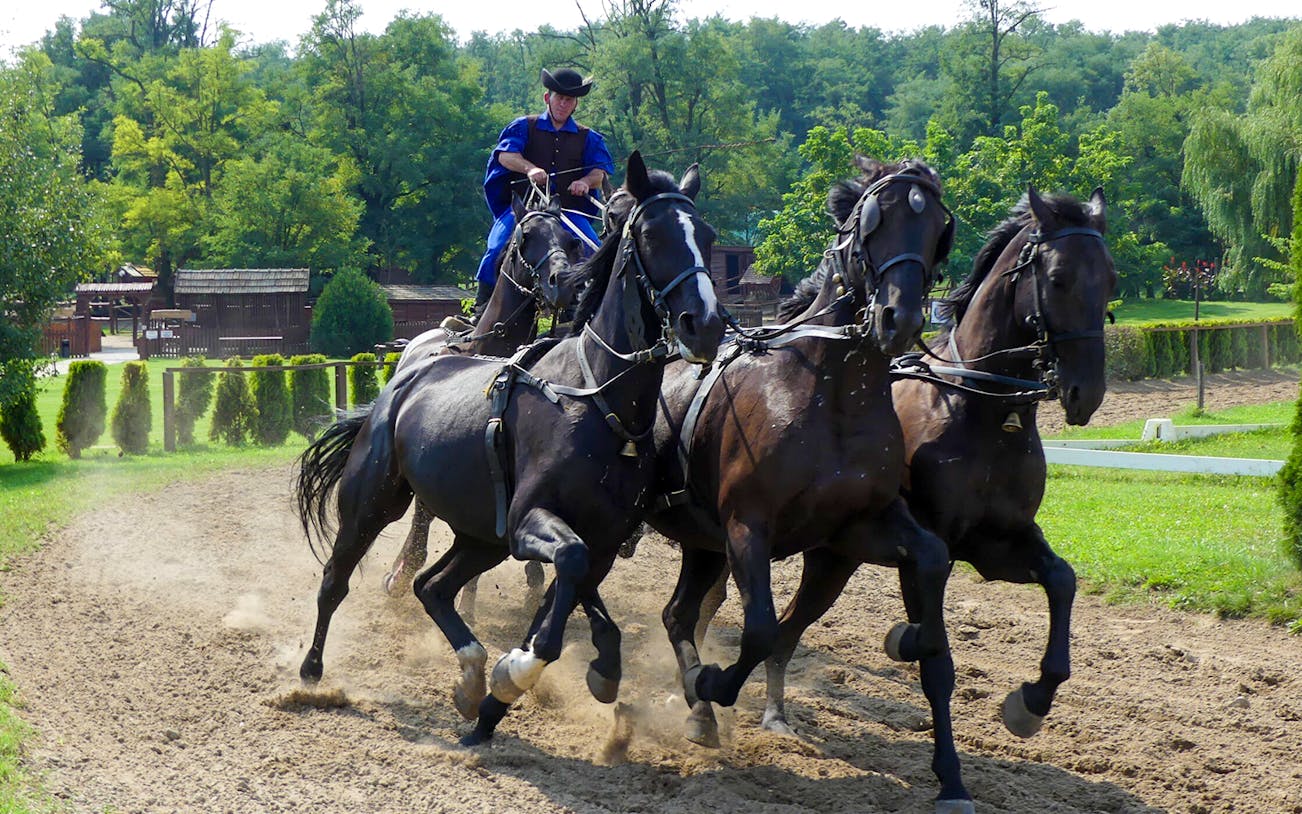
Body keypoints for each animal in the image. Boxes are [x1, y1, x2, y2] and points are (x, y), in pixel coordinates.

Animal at [379, 194, 586, 599]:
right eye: (526, 238)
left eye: (570, 241)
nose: (564, 284)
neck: (494, 350)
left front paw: (533, 581)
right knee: (422, 515)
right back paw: (403, 570)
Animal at [644, 157, 969, 810]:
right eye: (875, 220)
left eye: (935, 228)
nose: (899, 318)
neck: (830, 389)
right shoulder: (748, 527)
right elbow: (761, 630)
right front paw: (712, 682)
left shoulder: (854, 529)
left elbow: (930, 557)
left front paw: (948, 769)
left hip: (701, 542)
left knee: (678, 615)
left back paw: (697, 710)